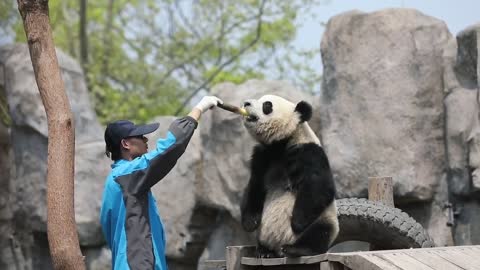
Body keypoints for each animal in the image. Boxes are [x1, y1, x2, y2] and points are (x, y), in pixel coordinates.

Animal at [239, 95, 338, 258]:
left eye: (267, 105)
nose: (246, 103)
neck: (281, 143)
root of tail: (277, 248)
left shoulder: (308, 152)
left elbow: (321, 185)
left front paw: (297, 222)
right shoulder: (262, 155)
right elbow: (255, 185)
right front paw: (250, 222)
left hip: (324, 219)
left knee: (320, 232)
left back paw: (297, 249)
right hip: (263, 234)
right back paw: (264, 252)